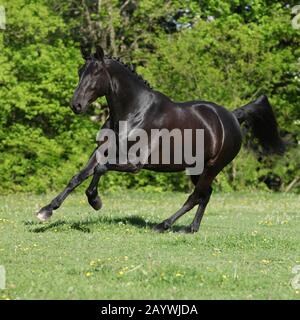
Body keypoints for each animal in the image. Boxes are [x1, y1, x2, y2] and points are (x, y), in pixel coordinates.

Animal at [35, 45, 284, 232]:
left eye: (95, 73)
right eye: (80, 71)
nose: (76, 105)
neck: (133, 113)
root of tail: (232, 116)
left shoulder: (134, 164)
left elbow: (100, 170)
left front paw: (95, 201)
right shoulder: (101, 152)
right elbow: (77, 177)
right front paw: (45, 211)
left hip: (213, 167)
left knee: (195, 196)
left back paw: (164, 225)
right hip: (197, 169)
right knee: (205, 195)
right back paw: (191, 228)